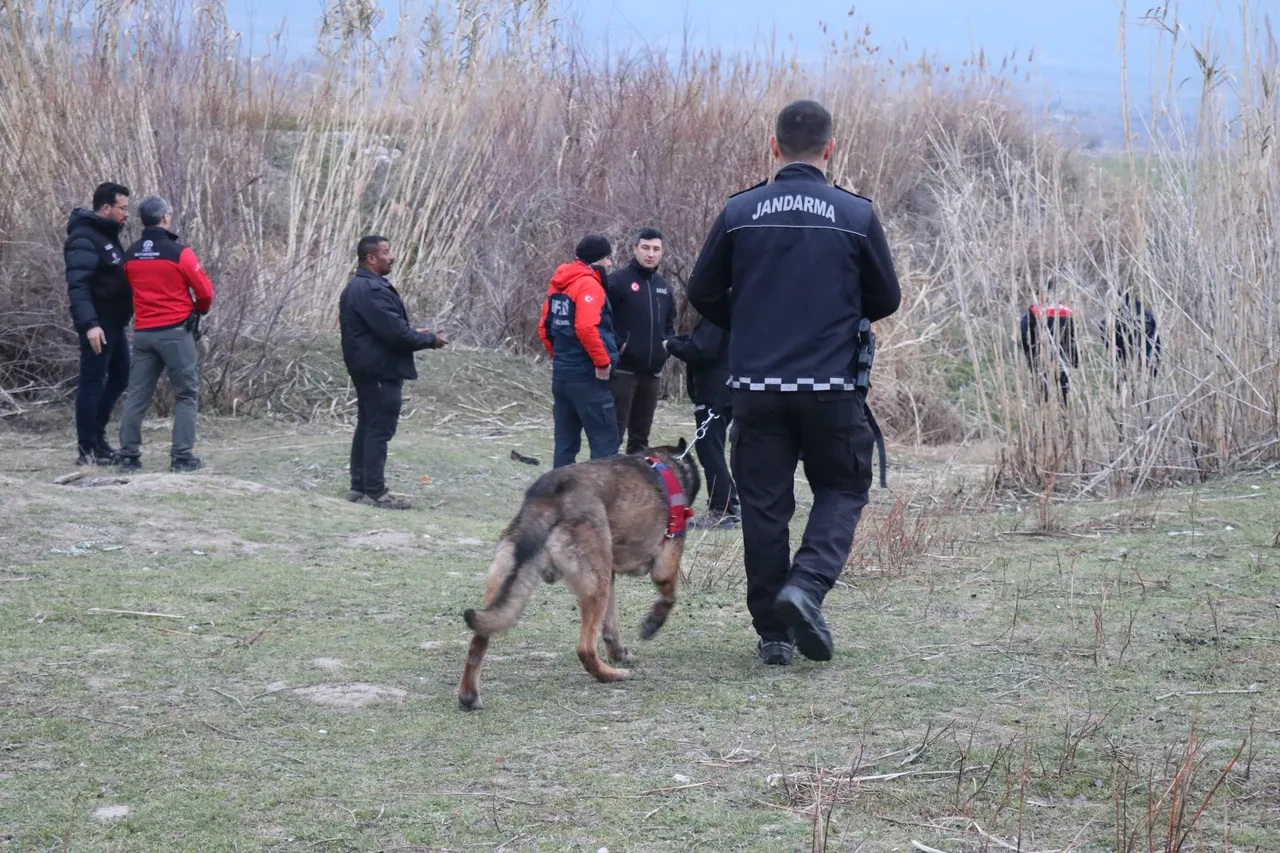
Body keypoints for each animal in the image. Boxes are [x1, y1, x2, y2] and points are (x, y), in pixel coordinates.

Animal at [455, 438, 701, 712]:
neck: (668, 462)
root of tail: (549, 496)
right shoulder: (666, 562)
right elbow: (668, 595)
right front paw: (652, 624)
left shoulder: (610, 575)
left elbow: (611, 626)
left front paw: (619, 653)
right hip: (595, 586)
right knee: (585, 648)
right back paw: (610, 676)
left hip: (512, 579)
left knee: (479, 639)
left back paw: (469, 696)